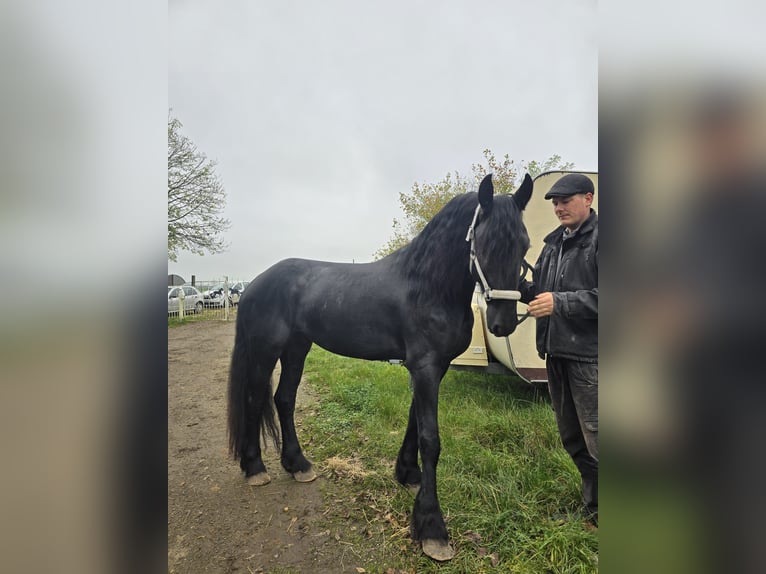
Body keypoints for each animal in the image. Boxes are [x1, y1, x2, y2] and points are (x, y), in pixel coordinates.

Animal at [228, 173, 536, 560]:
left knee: (283, 399)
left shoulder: (433, 367)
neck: (427, 285)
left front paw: (407, 474)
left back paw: (298, 464)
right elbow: (430, 439)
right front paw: (432, 527)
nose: (502, 323)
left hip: (297, 349)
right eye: (482, 242)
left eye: (524, 243)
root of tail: (253, 284)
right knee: (255, 399)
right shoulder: (425, 367)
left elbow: (414, 422)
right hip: (265, 350)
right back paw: (255, 467)